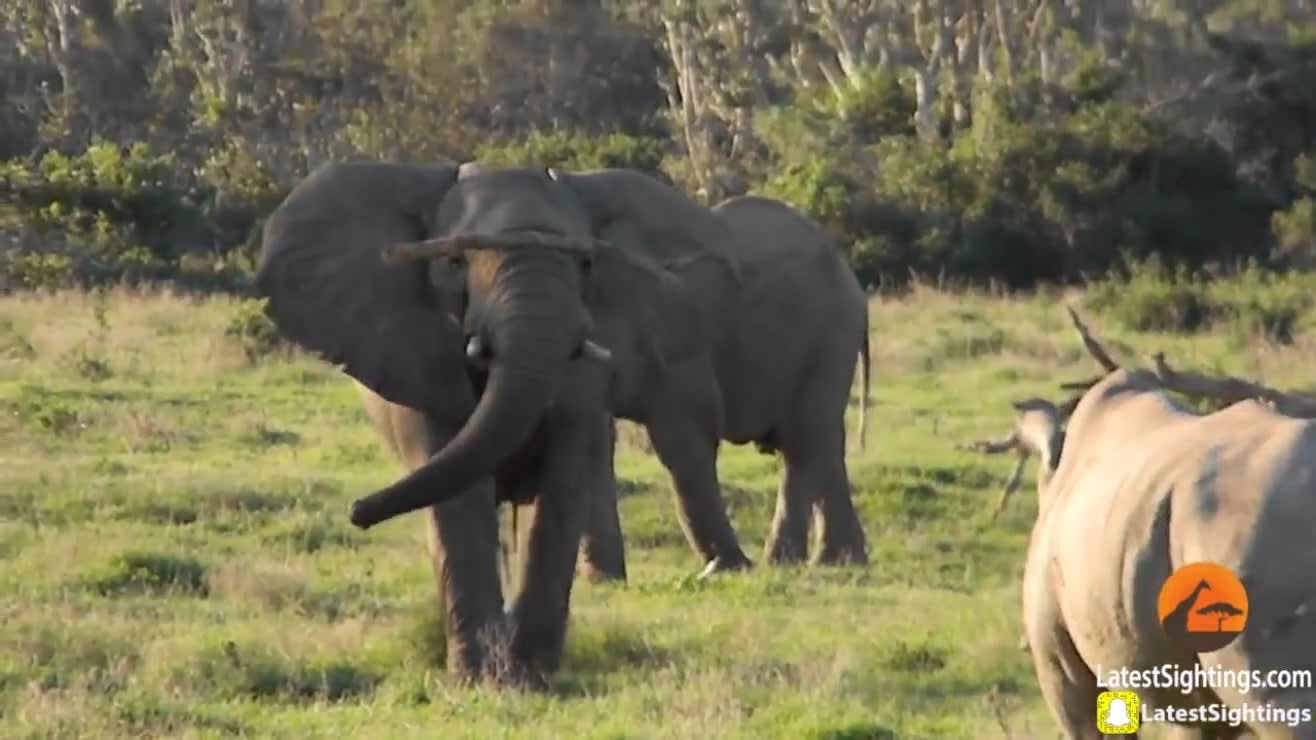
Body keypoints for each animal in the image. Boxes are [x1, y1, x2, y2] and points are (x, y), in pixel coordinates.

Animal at [256, 161, 753, 685]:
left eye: (586, 265)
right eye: (455, 263)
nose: (357, 512)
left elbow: (562, 481)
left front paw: (531, 678)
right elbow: (459, 495)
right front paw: (479, 680)